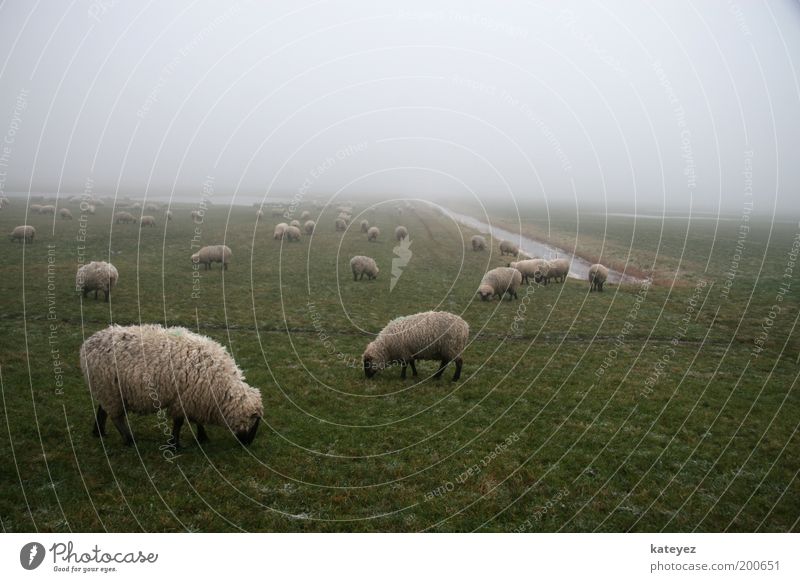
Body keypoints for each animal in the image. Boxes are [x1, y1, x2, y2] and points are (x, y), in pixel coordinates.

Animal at [81, 326, 264, 450]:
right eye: (254, 422)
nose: (247, 444)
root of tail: (87, 344)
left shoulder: (195, 399)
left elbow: (195, 420)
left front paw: (202, 437)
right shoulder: (186, 398)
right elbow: (179, 422)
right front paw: (175, 444)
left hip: (108, 389)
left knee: (102, 410)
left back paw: (99, 432)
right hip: (109, 389)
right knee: (116, 417)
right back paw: (129, 440)